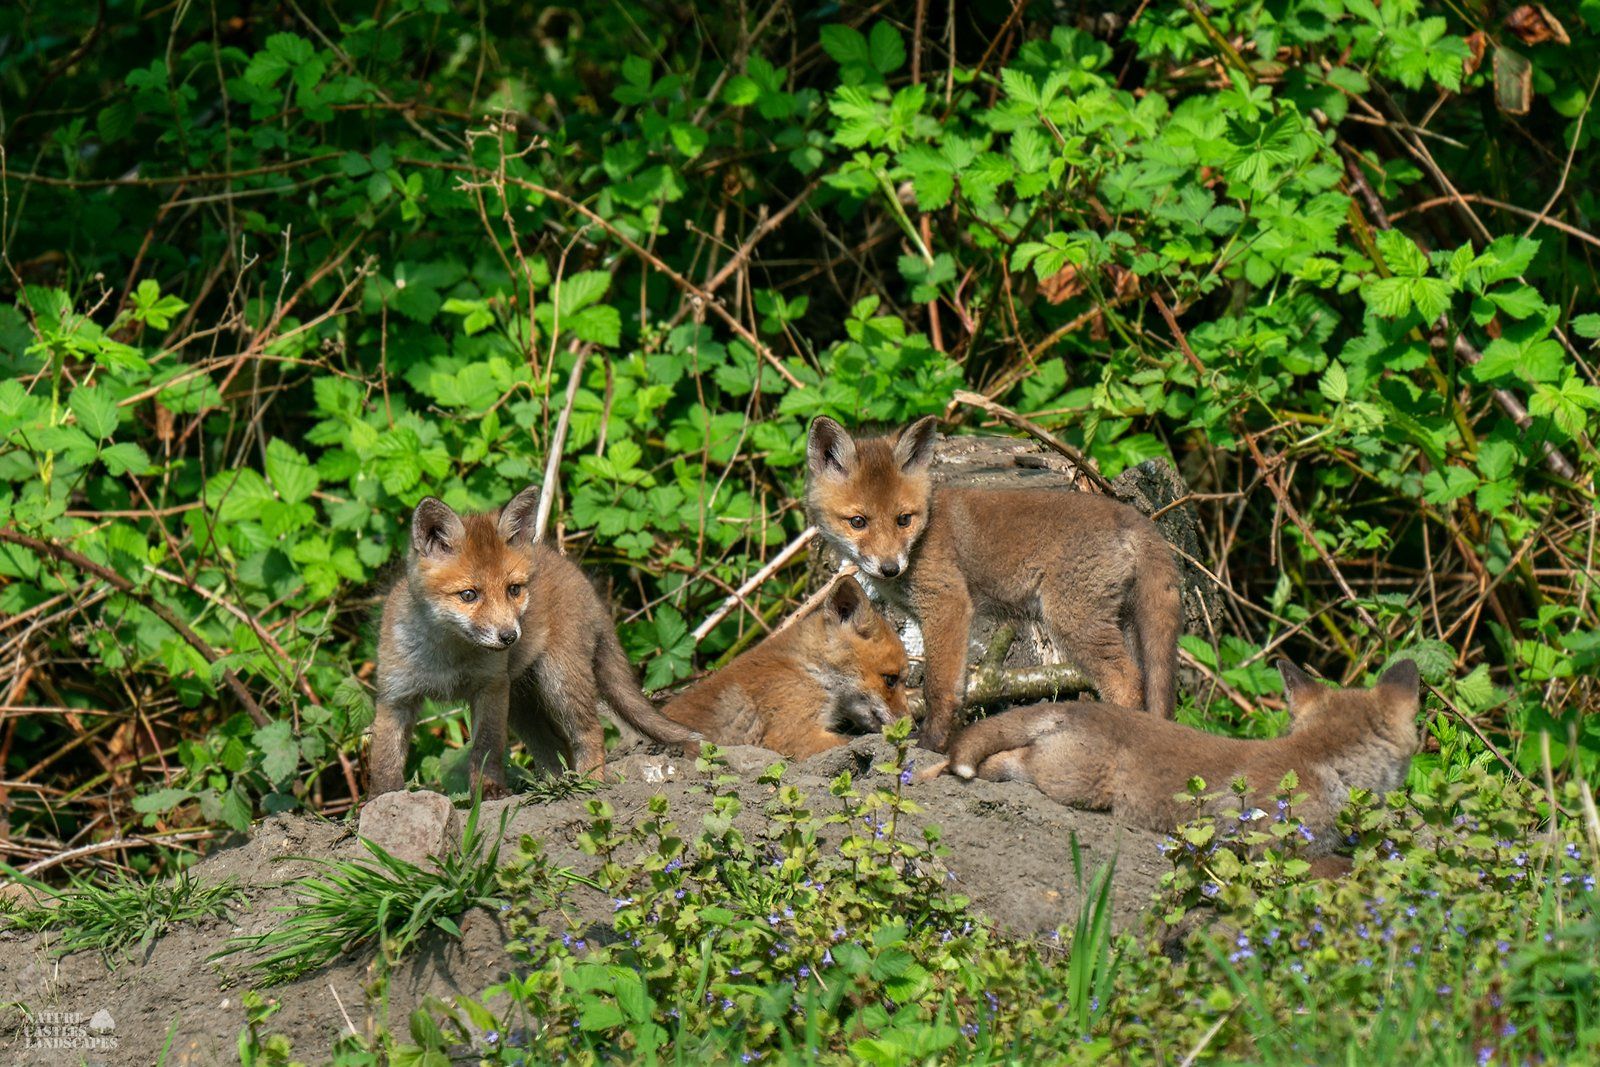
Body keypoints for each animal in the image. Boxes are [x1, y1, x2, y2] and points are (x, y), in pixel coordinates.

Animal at [368, 486, 697, 798]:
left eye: (513, 590)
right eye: (469, 595)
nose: (509, 637)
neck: (448, 657)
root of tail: (579, 577)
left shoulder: (491, 688)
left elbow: (486, 747)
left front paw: (489, 791)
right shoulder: (396, 697)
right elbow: (384, 759)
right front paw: (383, 799)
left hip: (558, 680)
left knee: (590, 732)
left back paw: (588, 783)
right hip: (521, 706)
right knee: (556, 745)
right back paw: (555, 784)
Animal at [805, 415, 1183, 752]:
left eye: (903, 520)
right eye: (858, 521)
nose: (889, 568)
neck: (925, 533)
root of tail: (1134, 517)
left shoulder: (948, 604)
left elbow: (938, 687)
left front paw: (931, 745)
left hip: (1075, 622)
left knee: (1126, 682)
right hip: (1123, 623)